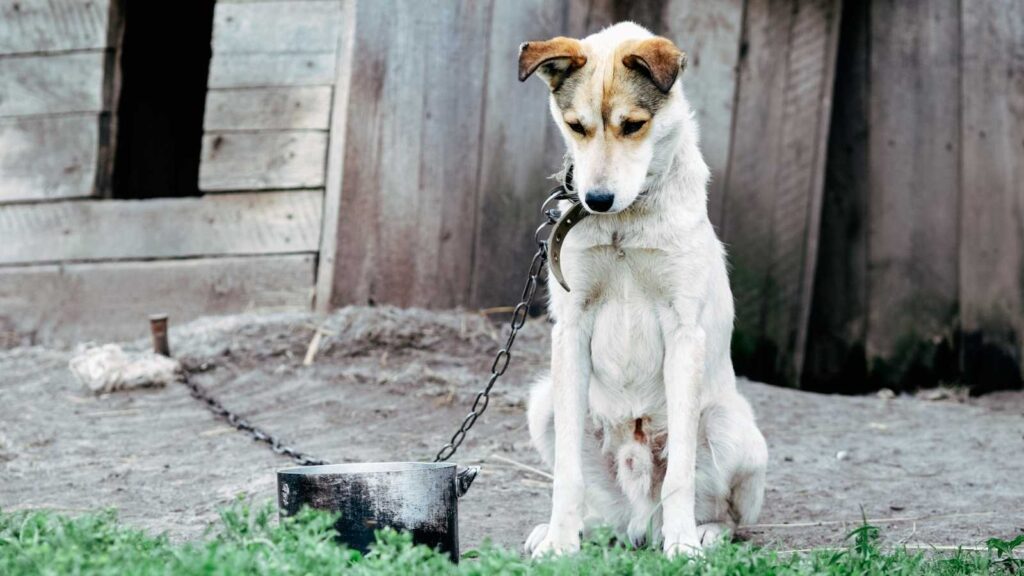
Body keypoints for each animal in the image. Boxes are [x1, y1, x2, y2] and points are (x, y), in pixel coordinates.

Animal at [520, 22, 770, 557]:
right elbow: (566, 474)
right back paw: (572, 530)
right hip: (545, 403)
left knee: (726, 514)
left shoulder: (683, 332)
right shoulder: (570, 329)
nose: (596, 199)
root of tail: (640, 519)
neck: (624, 223)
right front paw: (559, 543)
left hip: (730, 425)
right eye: (576, 126)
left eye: (633, 125)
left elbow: (680, 475)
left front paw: (683, 547)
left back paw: (700, 532)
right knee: (602, 510)